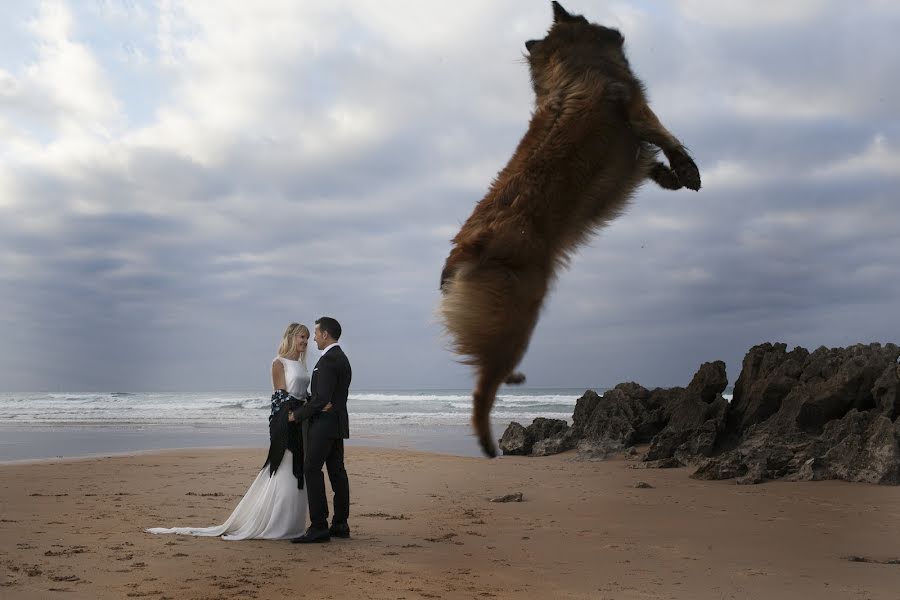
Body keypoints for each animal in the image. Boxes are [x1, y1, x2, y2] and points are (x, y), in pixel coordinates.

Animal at [440, 2, 700, 458]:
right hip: (519, 313)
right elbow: (664, 135)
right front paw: (686, 169)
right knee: (481, 387)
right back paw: (489, 439)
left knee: (484, 368)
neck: (570, 62)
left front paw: (668, 176)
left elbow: (651, 161)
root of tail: (463, 248)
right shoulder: (634, 103)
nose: (616, 28)